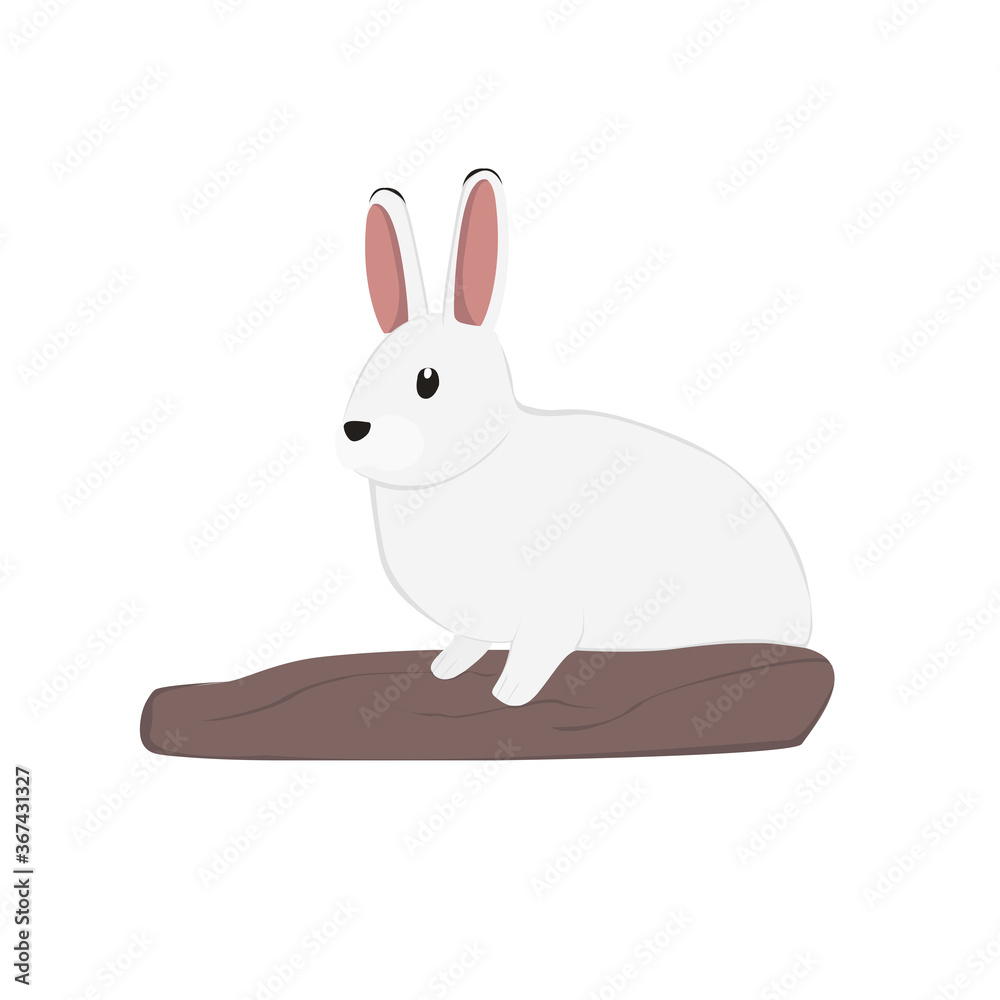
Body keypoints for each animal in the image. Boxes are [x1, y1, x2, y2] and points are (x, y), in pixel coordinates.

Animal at [338, 168, 812, 706]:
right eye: (366, 372)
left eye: (427, 381)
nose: (354, 431)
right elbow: (470, 642)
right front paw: (445, 669)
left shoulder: (552, 606)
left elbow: (540, 646)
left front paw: (511, 693)